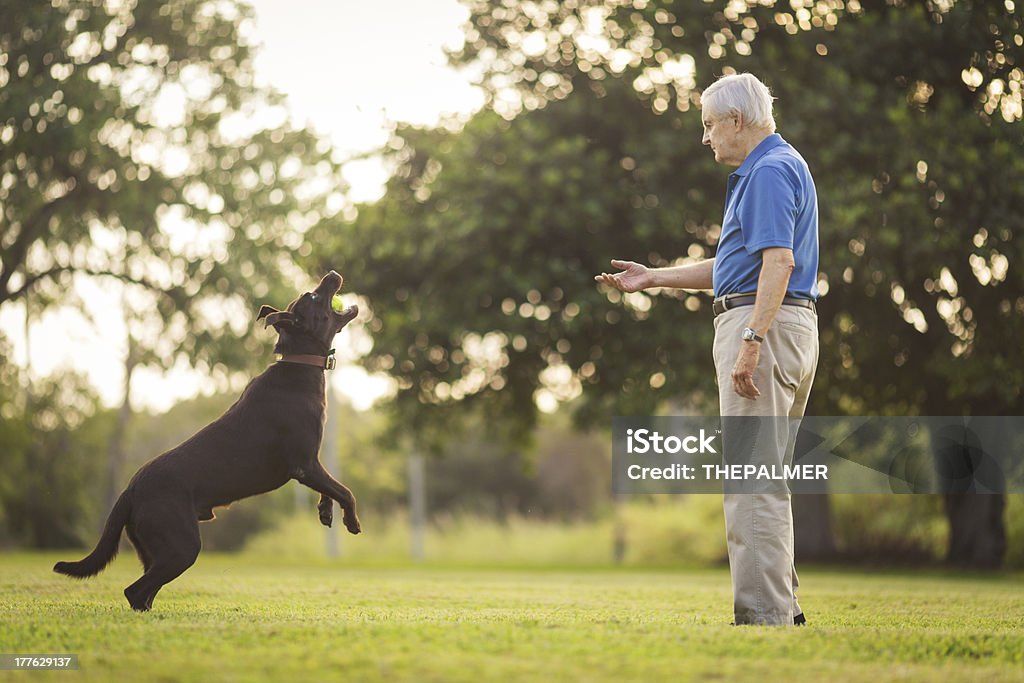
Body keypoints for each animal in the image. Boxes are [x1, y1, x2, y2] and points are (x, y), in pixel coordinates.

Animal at [55, 270, 364, 610]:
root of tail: (130, 491)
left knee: (144, 591)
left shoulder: (313, 463)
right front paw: (352, 522)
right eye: (313, 296)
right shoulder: (304, 464)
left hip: (156, 549)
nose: (332, 274)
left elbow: (330, 488)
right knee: (135, 591)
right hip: (182, 546)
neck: (299, 362)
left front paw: (326, 511)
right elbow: (345, 490)